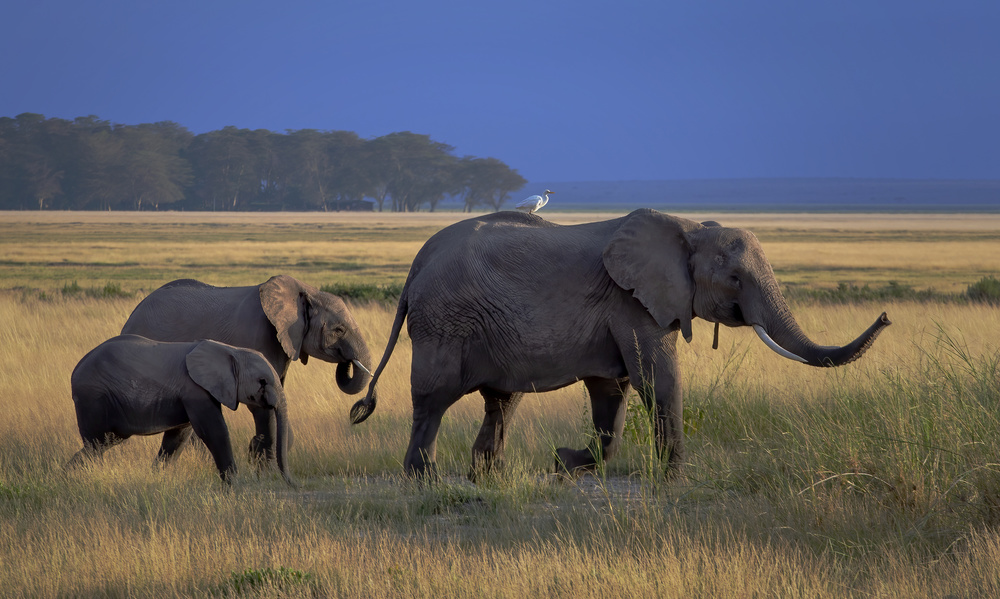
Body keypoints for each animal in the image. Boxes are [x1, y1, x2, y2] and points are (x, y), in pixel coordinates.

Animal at [65, 336, 292, 486]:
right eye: (262, 381)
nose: (291, 483)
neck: (232, 350)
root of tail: (75, 370)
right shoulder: (194, 390)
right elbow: (214, 431)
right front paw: (234, 486)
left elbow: (178, 437)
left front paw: (156, 478)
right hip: (93, 398)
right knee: (95, 444)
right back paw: (87, 476)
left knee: (104, 442)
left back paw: (68, 474)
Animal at [123, 276, 374, 468]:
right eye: (338, 330)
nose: (347, 361)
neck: (303, 291)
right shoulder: (258, 336)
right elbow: (263, 402)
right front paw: (266, 466)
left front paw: (259, 456)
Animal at [352, 209, 892, 480]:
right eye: (735, 279)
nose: (887, 315)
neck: (691, 228)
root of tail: (416, 264)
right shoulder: (631, 301)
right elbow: (657, 378)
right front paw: (674, 479)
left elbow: (612, 393)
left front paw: (564, 462)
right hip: (445, 321)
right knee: (434, 397)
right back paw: (422, 477)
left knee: (502, 401)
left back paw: (487, 479)